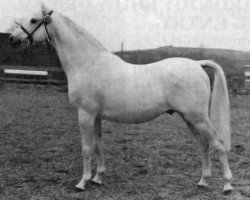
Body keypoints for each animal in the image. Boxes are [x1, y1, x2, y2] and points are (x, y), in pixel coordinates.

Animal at [8, 2, 233, 194]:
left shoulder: (85, 114)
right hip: (188, 117)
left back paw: (227, 186)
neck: (88, 63)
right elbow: (98, 145)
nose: (12, 39)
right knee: (203, 144)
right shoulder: (96, 116)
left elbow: (86, 147)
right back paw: (203, 181)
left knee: (217, 143)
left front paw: (82, 182)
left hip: (197, 117)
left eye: (34, 20)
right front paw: (98, 178)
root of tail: (197, 64)